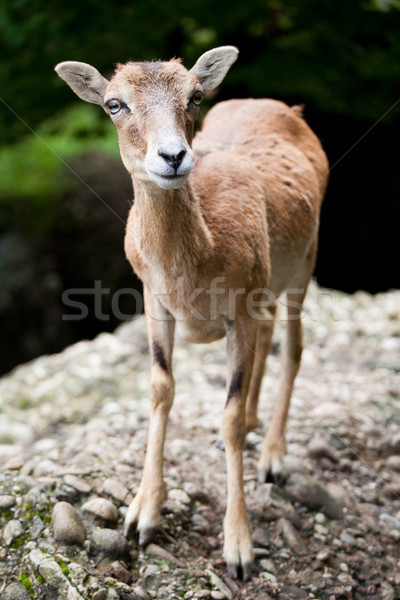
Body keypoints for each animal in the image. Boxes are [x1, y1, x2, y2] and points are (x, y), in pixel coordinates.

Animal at [57, 48, 332, 580]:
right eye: (114, 103)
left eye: (196, 96)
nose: (173, 156)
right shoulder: (153, 299)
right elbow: (161, 388)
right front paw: (141, 516)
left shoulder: (240, 306)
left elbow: (227, 414)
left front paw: (239, 549)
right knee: (271, 338)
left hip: (303, 263)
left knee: (293, 347)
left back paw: (273, 456)